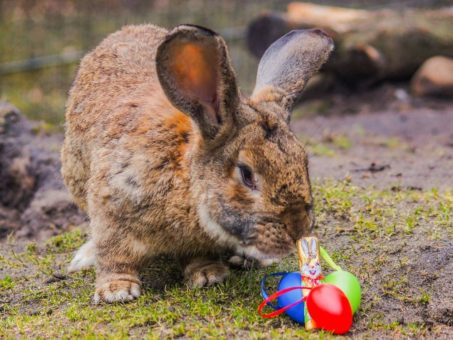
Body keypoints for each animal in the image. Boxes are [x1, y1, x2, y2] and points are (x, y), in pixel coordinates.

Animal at [61, 23, 332, 302]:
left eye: (304, 161)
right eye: (246, 174)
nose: (297, 230)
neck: (185, 180)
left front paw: (208, 274)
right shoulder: (112, 205)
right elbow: (114, 254)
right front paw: (117, 290)